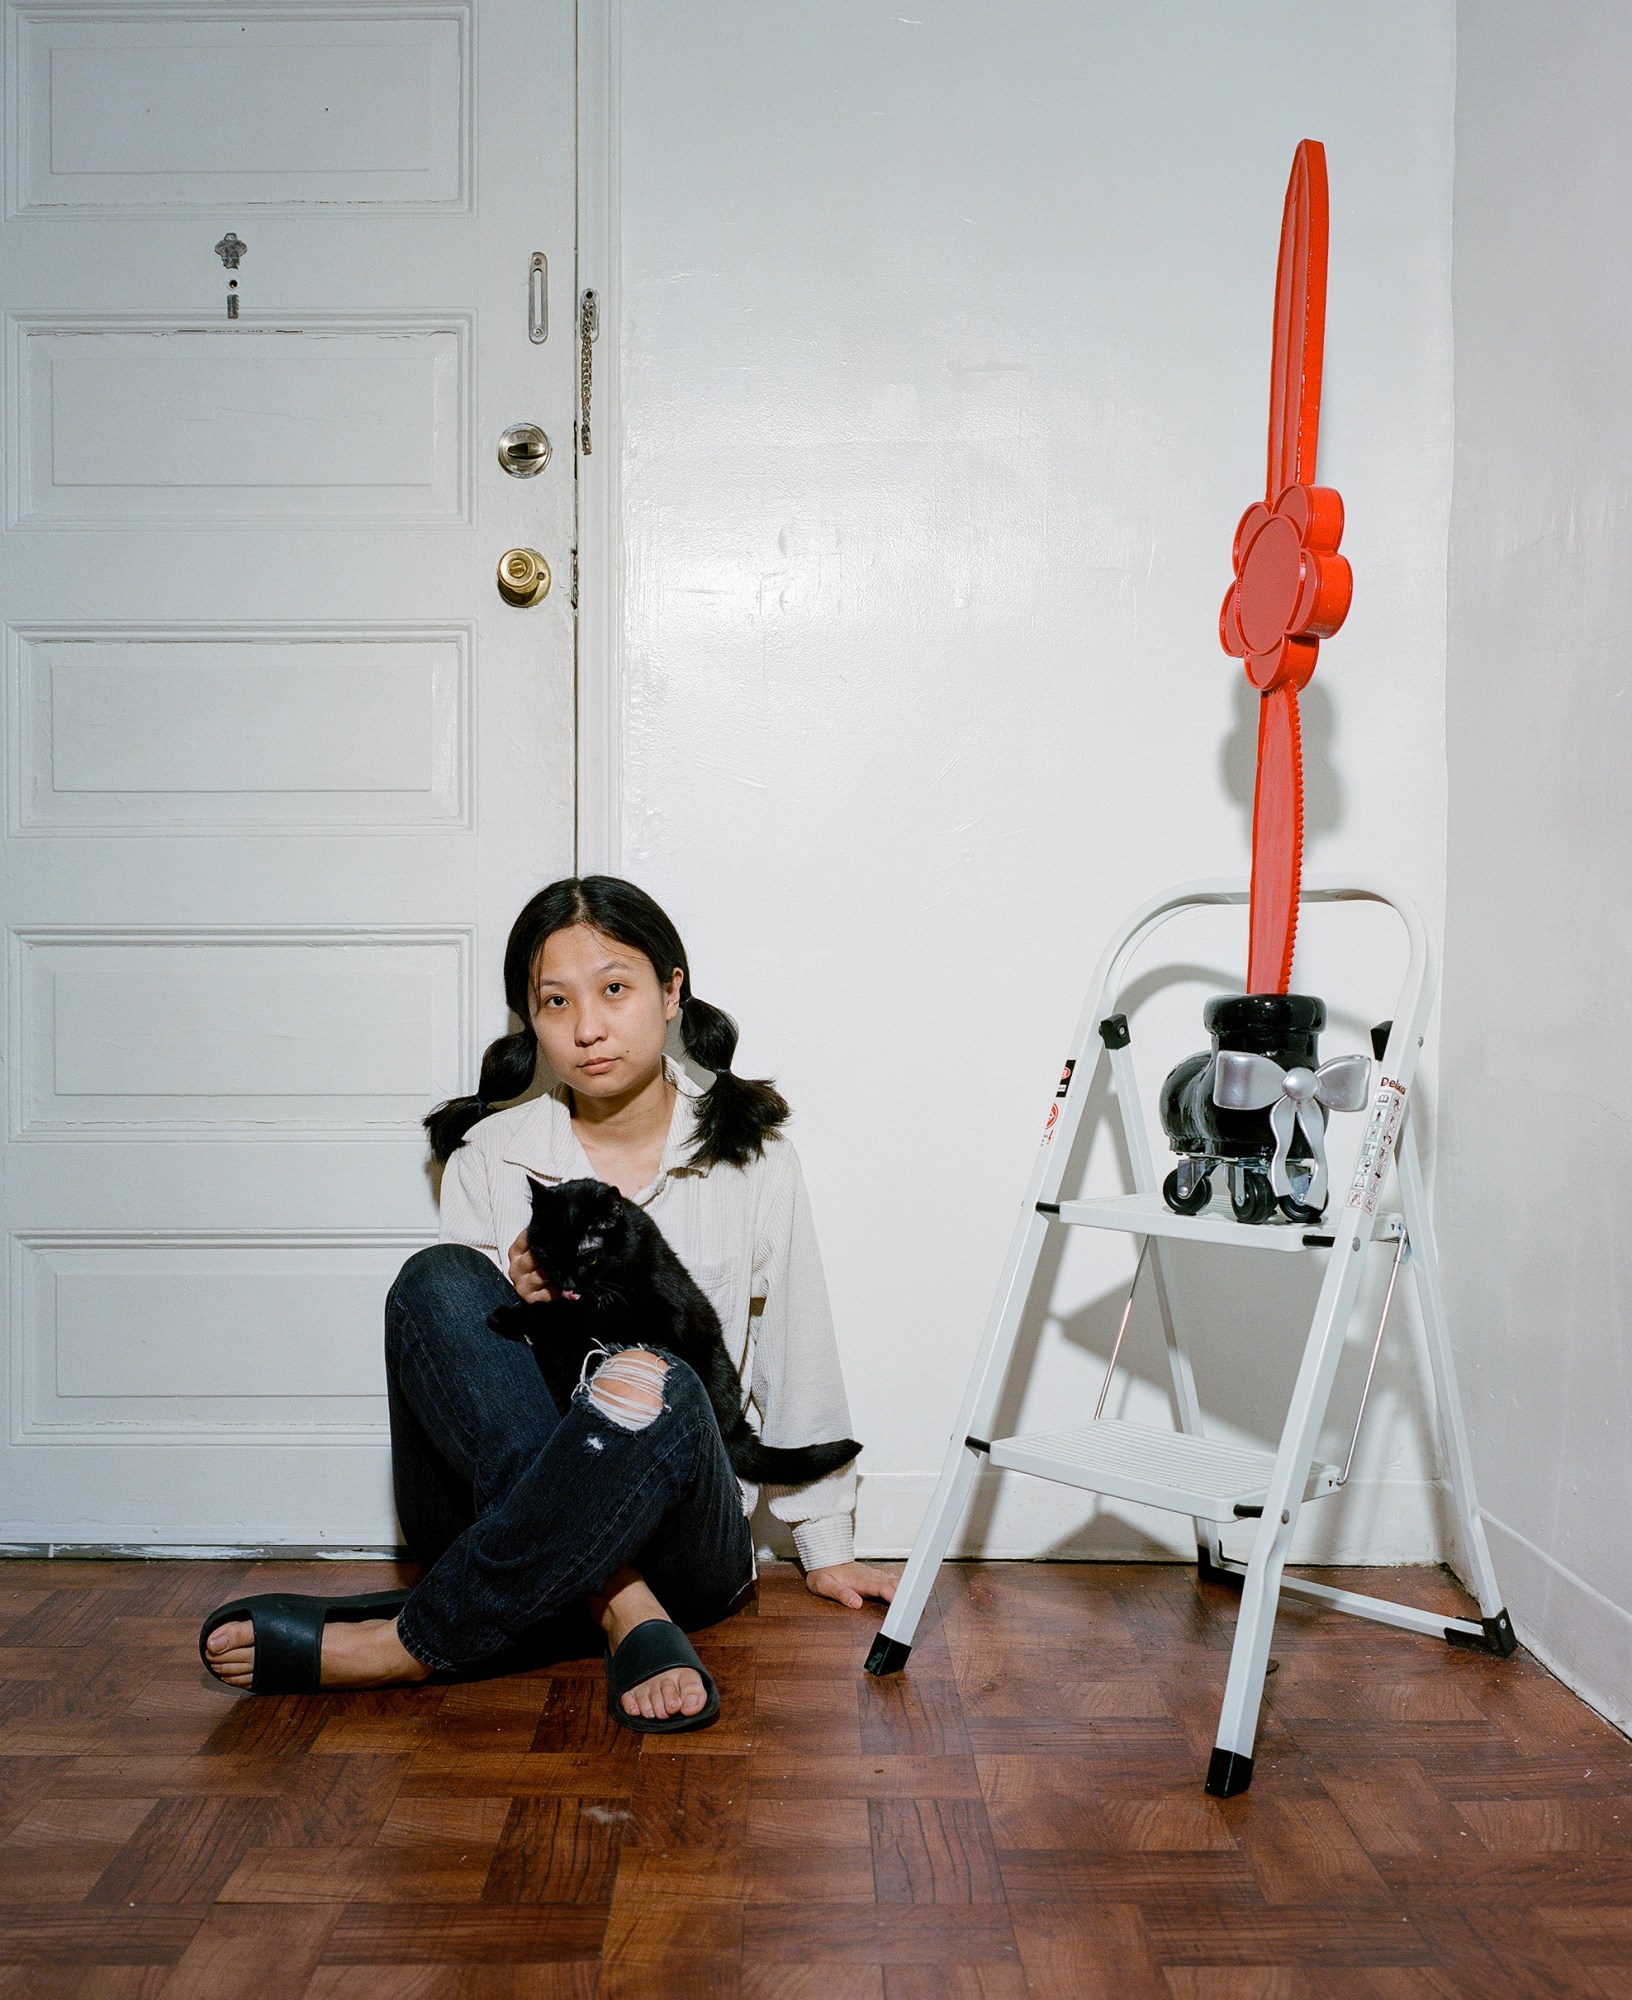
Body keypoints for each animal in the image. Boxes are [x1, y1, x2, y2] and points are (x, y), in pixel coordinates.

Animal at [488, 1168, 860, 1488]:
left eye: (589, 1256)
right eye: (547, 1255)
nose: (568, 1285)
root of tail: (736, 1426)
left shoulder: (656, 1313)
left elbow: (574, 1319)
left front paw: (507, 1316)